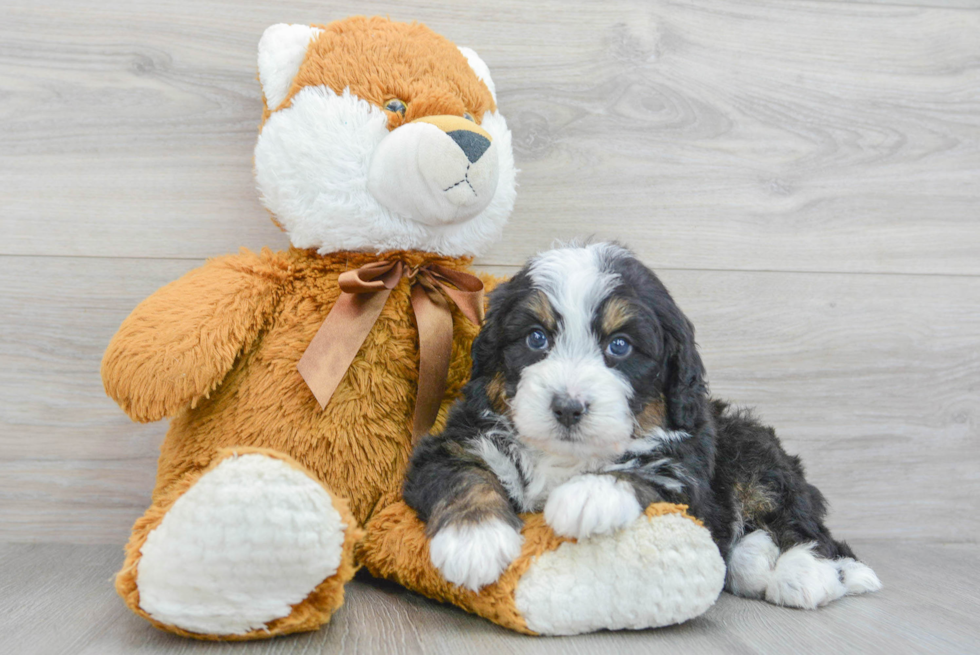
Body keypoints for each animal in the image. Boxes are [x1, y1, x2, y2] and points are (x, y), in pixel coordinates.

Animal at [402, 243, 884, 612]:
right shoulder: (454, 443)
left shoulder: (690, 481)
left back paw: (806, 574)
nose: (568, 407)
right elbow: (465, 476)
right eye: (536, 338)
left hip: (754, 451)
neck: (566, 457)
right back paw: (753, 560)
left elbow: (646, 473)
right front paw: (474, 540)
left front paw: (588, 495)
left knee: (803, 525)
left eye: (620, 346)